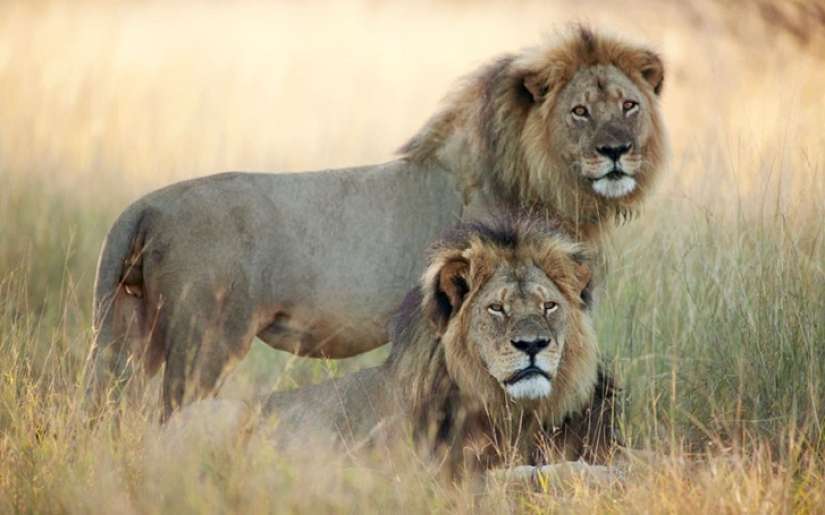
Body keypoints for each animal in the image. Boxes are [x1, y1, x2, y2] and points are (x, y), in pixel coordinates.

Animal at [86, 26, 667, 422]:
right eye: (580, 112)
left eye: (630, 106)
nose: (617, 151)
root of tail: (144, 206)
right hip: (204, 339)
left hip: (130, 331)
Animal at [168, 216, 621, 485]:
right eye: (497, 308)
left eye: (549, 306)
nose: (533, 345)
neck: (514, 409)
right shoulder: (440, 475)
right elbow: (528, 474)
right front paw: (599, 475)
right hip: (216, 416)